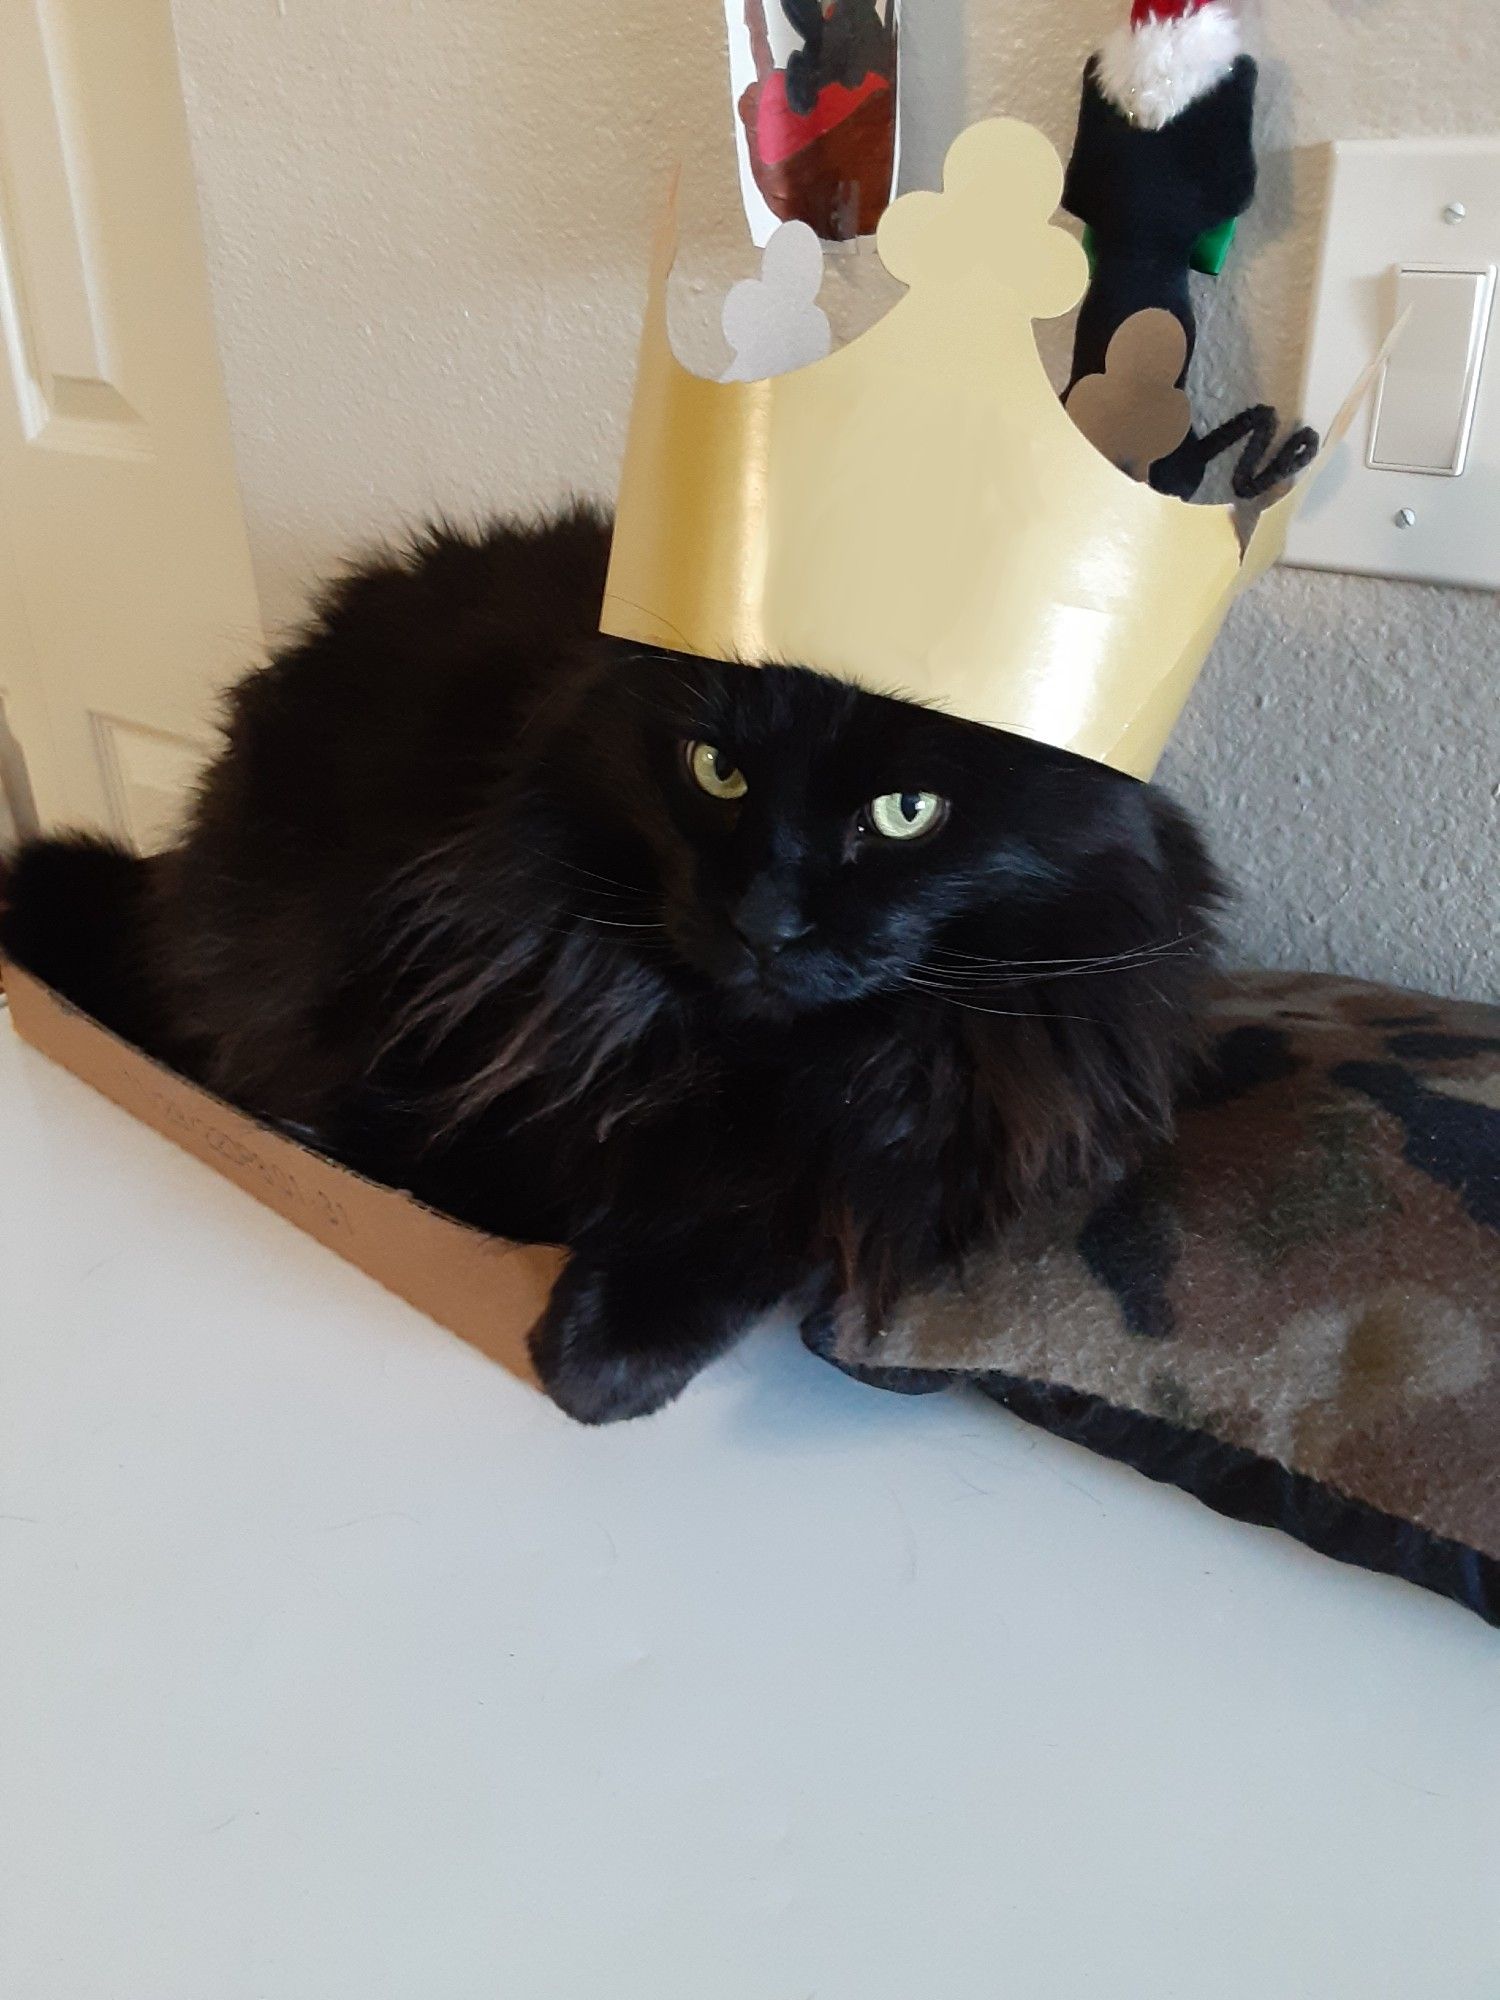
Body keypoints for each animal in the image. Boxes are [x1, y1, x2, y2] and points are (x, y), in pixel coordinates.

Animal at [0, 512, 1224, 1424]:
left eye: (906, 811)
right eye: (715, 769)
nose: (766, 919)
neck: (749, 1059)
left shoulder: (918, 1126)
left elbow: (774, 1198)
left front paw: (606, 1348)